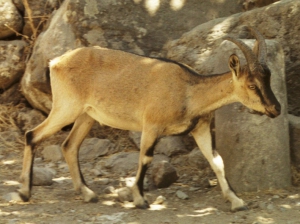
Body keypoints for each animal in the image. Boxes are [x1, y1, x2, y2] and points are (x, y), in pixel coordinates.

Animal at [18, 27, 282, 211]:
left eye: (268, 78)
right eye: (251, 84)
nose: (275, 109)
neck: (188, 91)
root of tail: (55, 63)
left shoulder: (200, 128)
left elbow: (217, 161)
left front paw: (237, 201)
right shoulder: (152, 125)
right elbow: (145, 158)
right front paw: (140, 199)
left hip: (86, 116)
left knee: (69, 146)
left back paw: (88, 194)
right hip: (66, 107)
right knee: (32, 135)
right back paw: (24, 193)